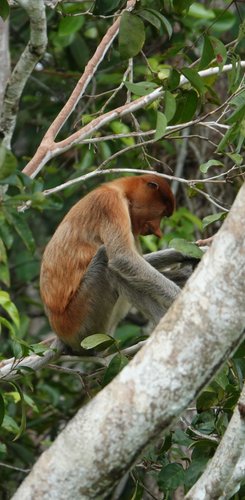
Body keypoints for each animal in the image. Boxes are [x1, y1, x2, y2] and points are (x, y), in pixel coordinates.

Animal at [40, 176, 192, 352]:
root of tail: (60, 333)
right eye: (162, 213)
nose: (157, 231)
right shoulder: (110, 204)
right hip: (81, 323)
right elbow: (122, 257)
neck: (120, 190)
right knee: (108, 263)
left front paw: (187, 254)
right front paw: (183, 298)